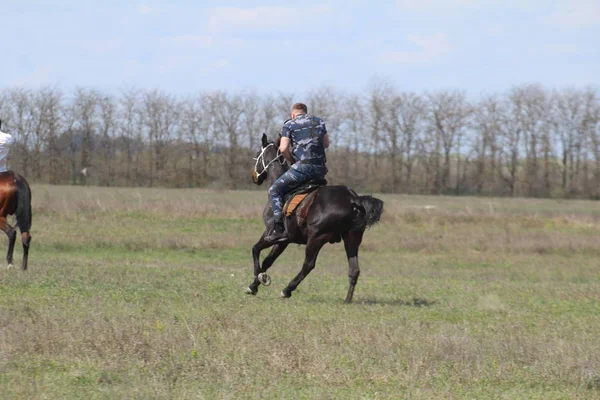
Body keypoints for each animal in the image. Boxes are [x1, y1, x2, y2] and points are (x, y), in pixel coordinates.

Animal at [245, 134, 382, 304]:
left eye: (258, 154)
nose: (254, 177)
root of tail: (352, 198)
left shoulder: (270, 233)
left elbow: (256, 249)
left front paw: (258, 276)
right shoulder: (284, 240)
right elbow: (268, 260)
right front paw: (255, 284)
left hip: (316, 238)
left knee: (308, 265)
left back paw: (287, 290)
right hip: (352, 238)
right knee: (354, 269)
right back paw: (347, 300)